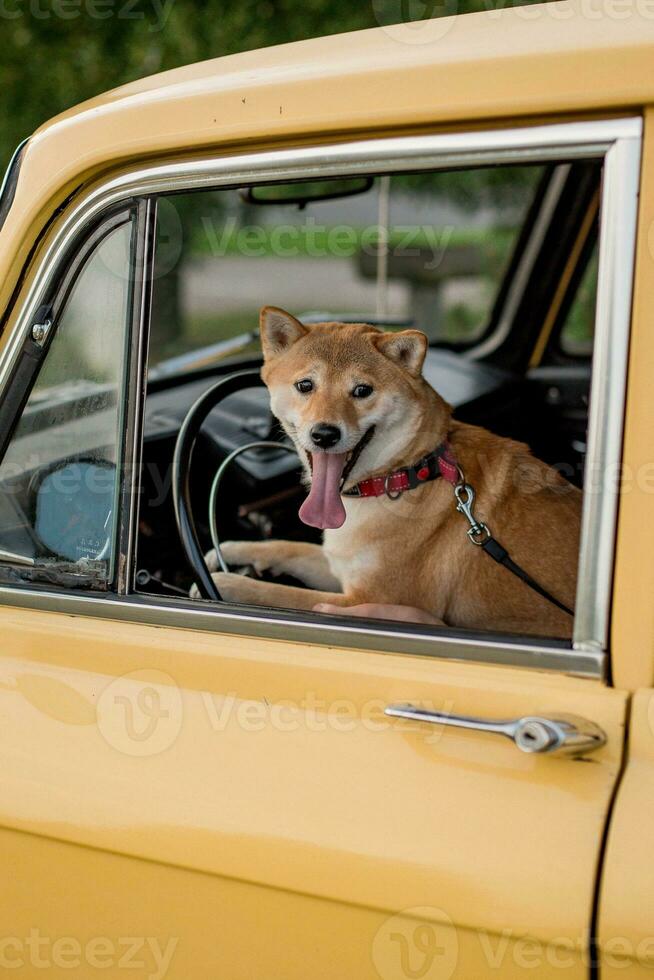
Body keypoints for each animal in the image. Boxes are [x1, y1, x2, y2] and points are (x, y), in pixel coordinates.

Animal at [206, 302, 584, 636]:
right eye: (304, 385)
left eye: (362, 390)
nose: (324, 434)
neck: (406, 474)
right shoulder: (341, 565)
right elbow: (288, 546)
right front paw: (233, 549)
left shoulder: (366, 600)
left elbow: (285, 596)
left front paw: (229, 585)